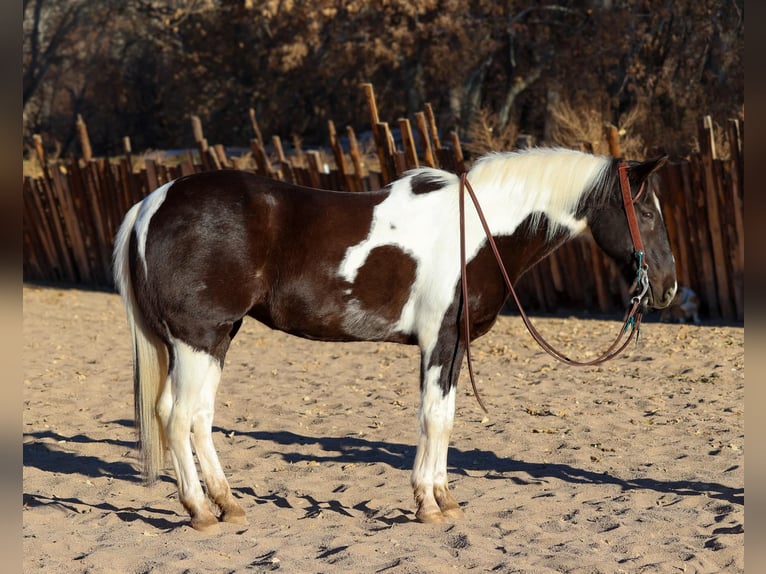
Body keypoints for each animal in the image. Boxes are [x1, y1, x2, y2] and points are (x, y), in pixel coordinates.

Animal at [113, 147, 677, 532]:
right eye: (647, 213)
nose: (669, 288)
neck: (478, 230)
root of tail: (150, 204)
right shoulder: (440, 341)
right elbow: (432, 419)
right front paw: (427, 503)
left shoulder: (455, 348)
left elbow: (446, 418)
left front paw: (444, 498)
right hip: (198, 338)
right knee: (178, 417)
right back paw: (200, 511)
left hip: (216, 338)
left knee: (198, 418)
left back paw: (228, 504)